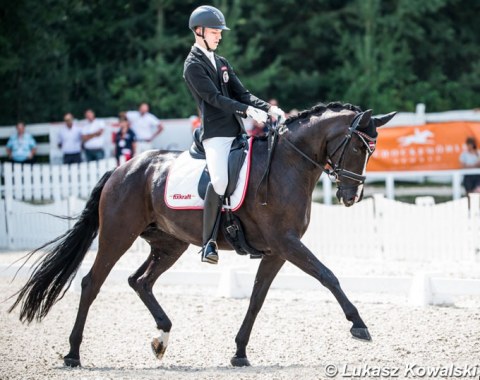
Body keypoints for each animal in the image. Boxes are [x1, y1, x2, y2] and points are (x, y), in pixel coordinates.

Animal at [9, 101, 396, 368]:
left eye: (372, 150)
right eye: (359, 147)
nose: (351, 196)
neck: (288, 164)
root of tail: (122, 168)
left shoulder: (276, 251)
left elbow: (257, 299)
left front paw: (239, 352)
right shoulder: (287, 243)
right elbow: (328, 276)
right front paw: (359, 325)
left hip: (170, 244)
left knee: (140, 281)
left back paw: (161, 337)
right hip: (118, 235)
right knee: (92, 283)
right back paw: (73, 353)